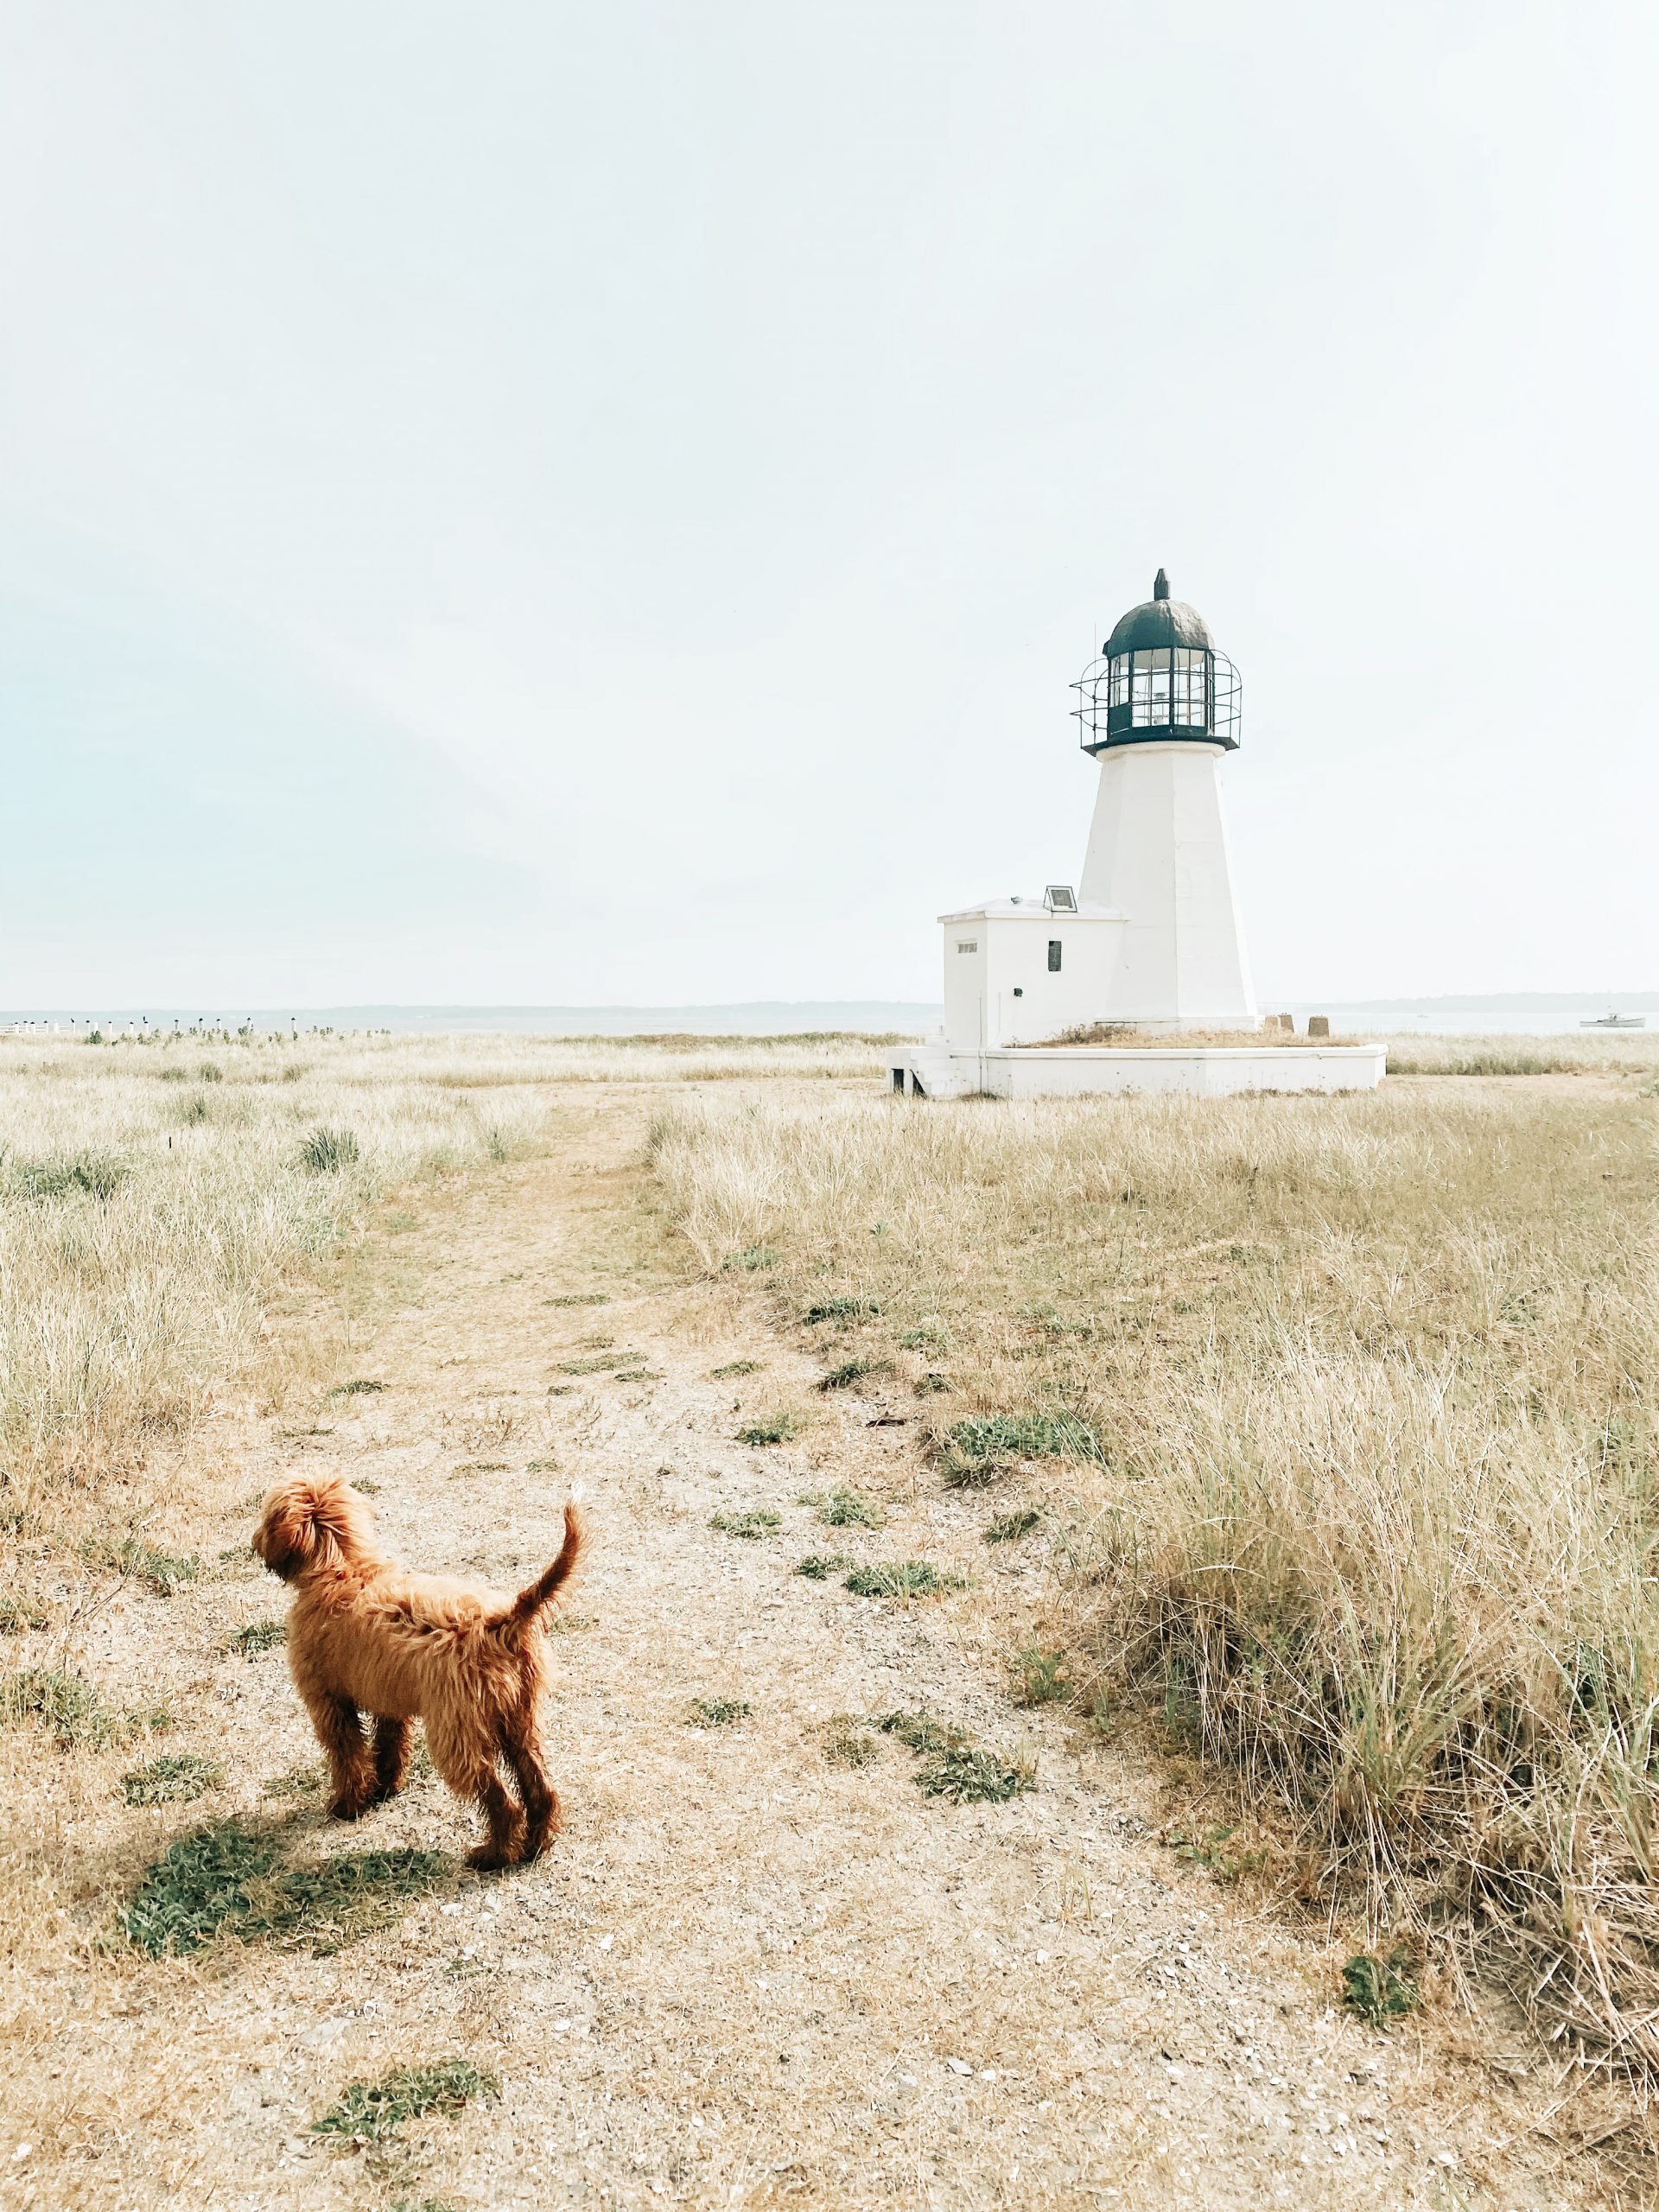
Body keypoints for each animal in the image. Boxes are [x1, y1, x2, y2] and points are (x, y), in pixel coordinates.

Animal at [246, 1468, 583, 1866]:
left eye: (266, 1517)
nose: (254, 1541)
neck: (340, 1566)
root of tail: (502, 1620)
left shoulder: (328, 1701)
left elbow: (347, 1755)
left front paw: (347, 1805)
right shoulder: (386, 1696)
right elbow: (388, 1745)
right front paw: (385, 1788)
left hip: (456, 1734)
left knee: (502, 1800)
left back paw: (493, 1855)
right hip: (520, 1719)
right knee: (540, 1788)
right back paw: (535, 1846)